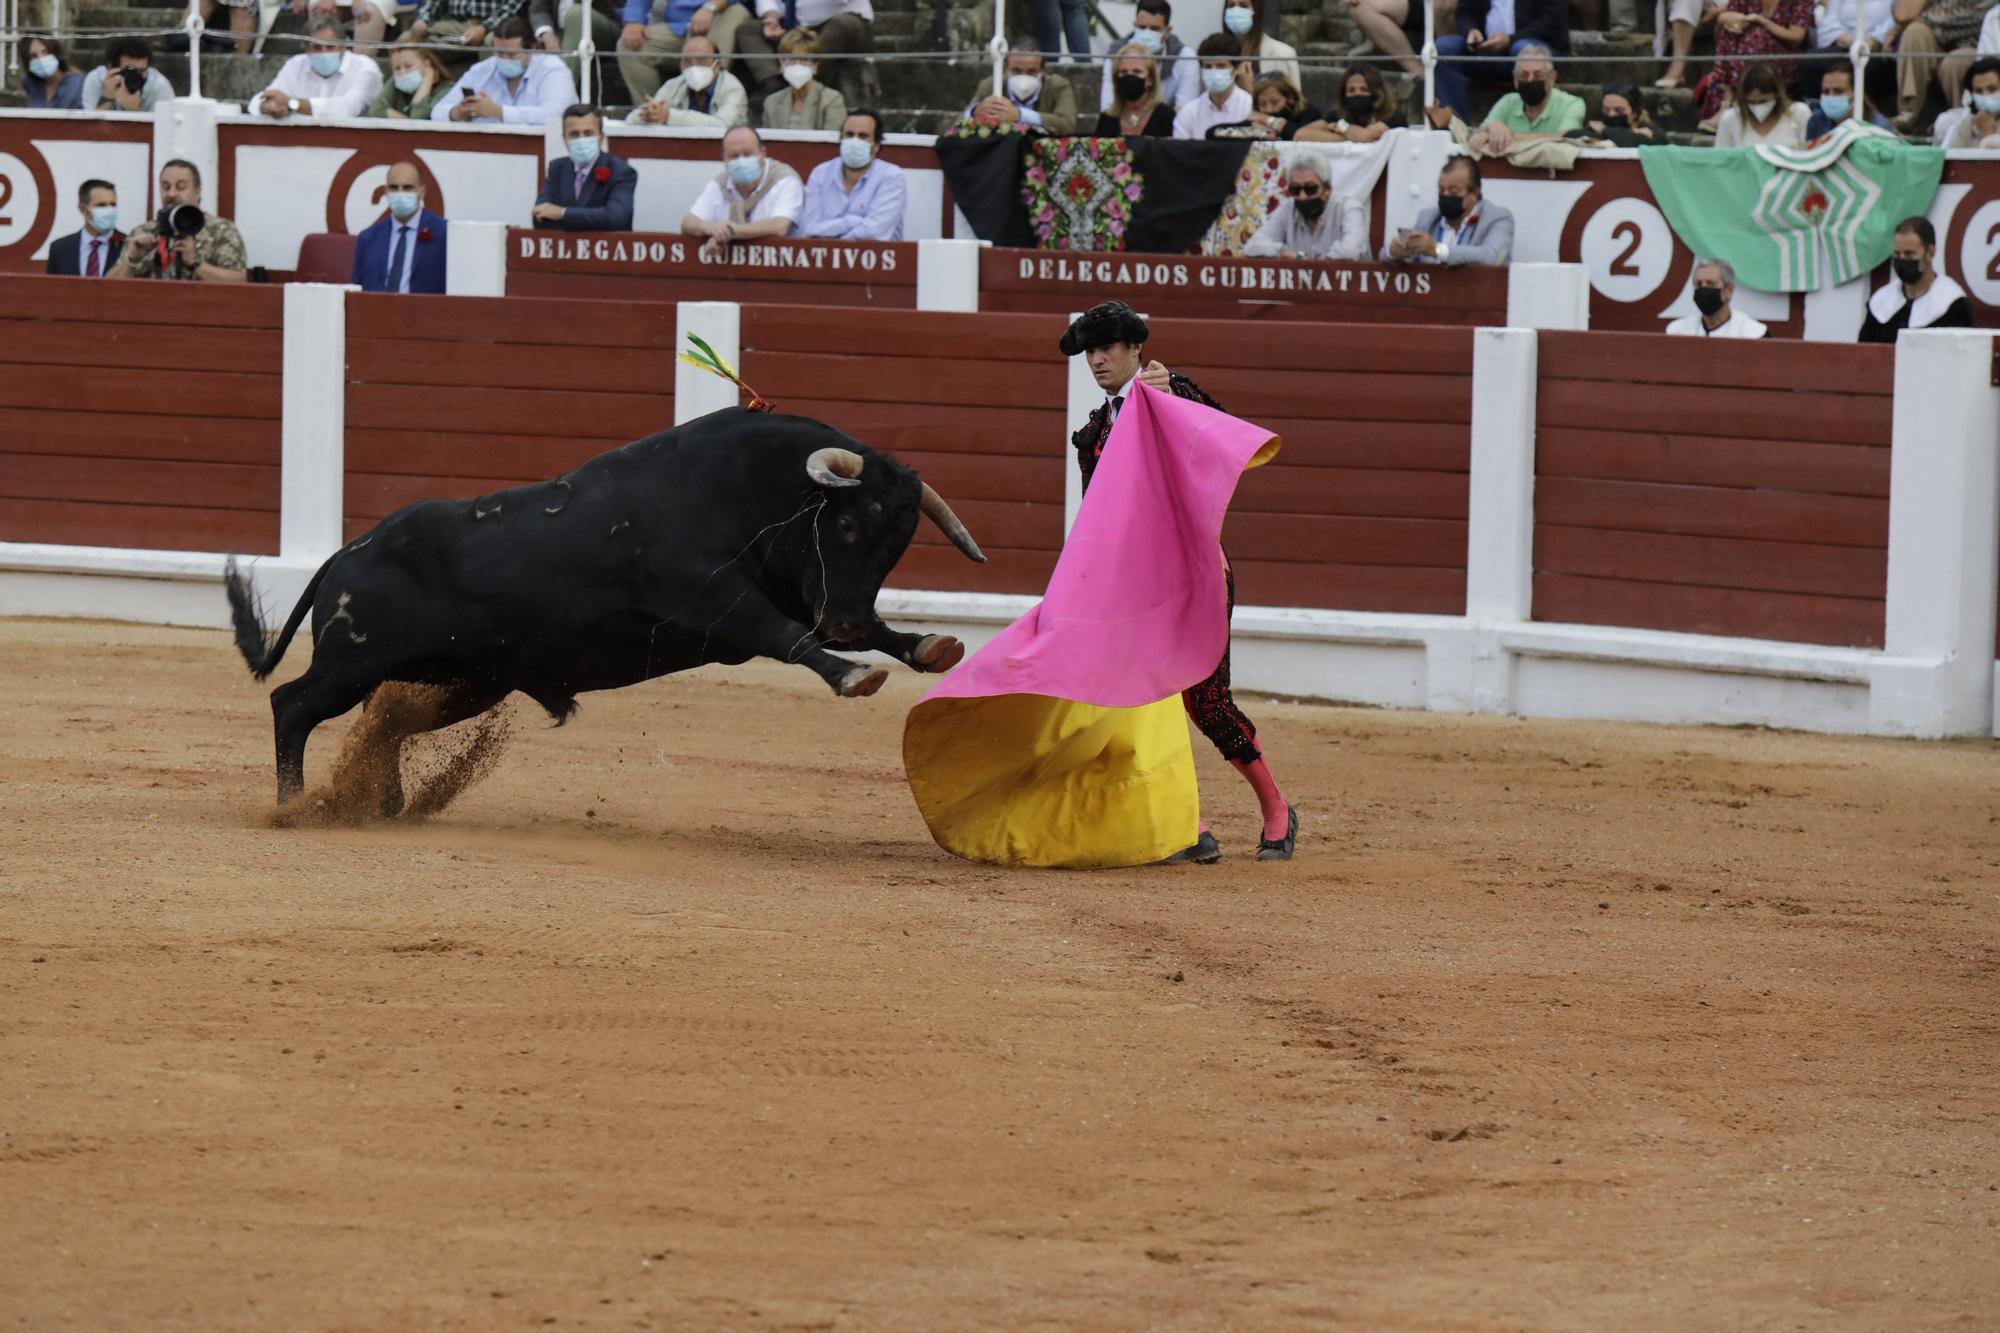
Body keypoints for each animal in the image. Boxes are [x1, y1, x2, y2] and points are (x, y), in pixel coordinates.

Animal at [223, 404, 988, 800]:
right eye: (851, 526)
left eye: (899, 544)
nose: (847, 620)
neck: (745, 489)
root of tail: (349, 551)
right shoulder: (720, 604)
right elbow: (787, 636)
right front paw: (856, 674)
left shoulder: (791, 593)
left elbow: (857, 629)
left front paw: (929, 645)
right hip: (353, 662)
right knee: (293, 703)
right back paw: (295, 805)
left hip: (460, 681)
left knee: (383, 727)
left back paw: (377, 805)